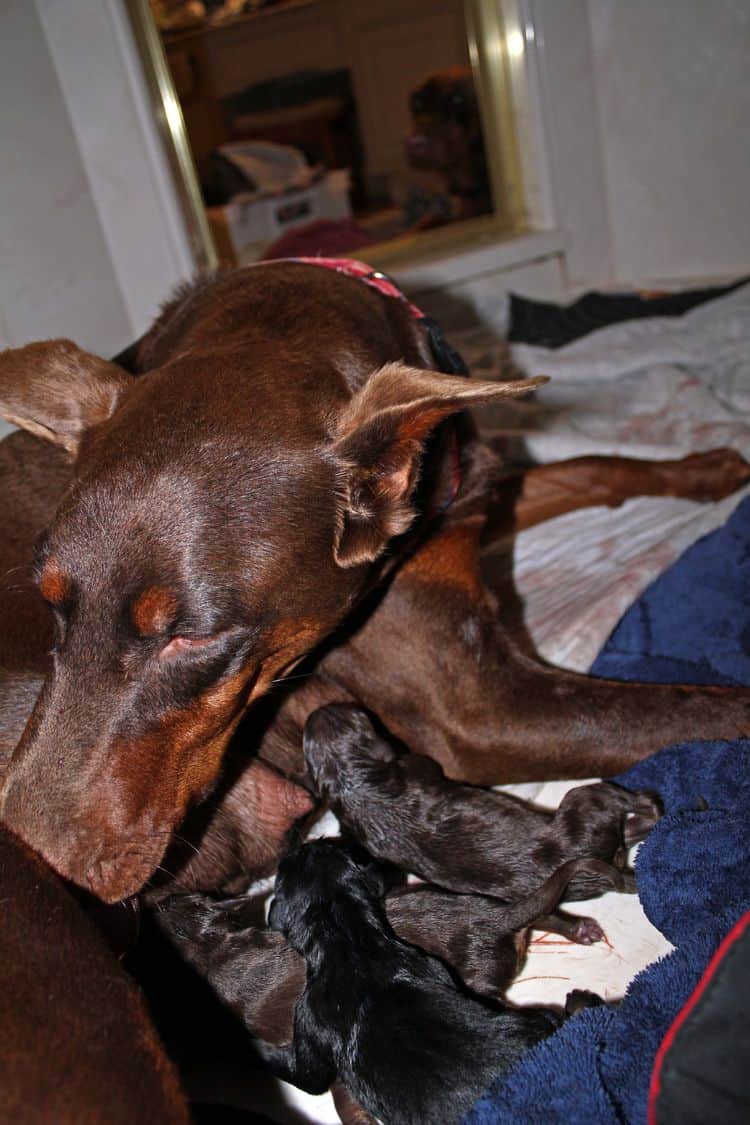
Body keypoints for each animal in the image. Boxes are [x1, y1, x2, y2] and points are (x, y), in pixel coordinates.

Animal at [1, 258, 750, 900]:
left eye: (192, 638)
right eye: (50, 601)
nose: (35, 855)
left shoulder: (460, 497)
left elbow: (591, 466)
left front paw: (708, 467)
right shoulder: (478, 708)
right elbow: (704, 708)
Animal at [260, 841, 559, 1120]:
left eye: (283, 868)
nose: (309, 843)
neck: (349, 939)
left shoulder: (306, 1018)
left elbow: (305, 1074)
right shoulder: (434, 965)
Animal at [301, 702, 661, 931]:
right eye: (361, 718)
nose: (320, 708)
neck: (354, 783)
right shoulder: (416, 766)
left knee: (545, 916)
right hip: (585, 802)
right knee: (621, 802)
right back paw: (650, 804)